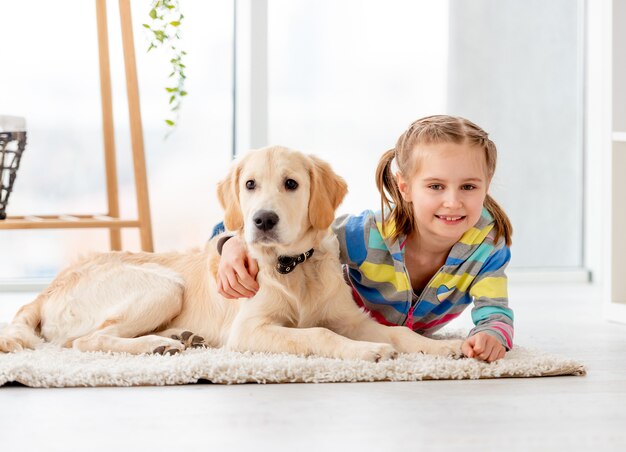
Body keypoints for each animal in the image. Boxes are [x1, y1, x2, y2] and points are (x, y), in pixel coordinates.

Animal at [0, 147, 458, 362]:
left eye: (291, 183)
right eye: (250, 184)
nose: (262, 220)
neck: (293, 267)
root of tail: (51, 285)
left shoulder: (352, 318)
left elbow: (397, 333)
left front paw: (438, 348)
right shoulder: (250, 330)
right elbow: (317, 334)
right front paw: (365, 352)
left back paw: (178, 338)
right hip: (165, 287)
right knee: (85, 341)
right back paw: (155, 346)